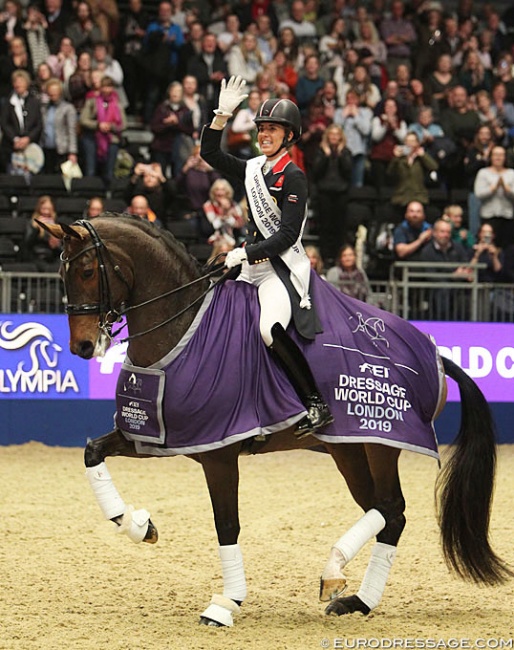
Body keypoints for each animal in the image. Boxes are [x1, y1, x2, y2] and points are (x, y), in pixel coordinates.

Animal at [40, 215, 508, 624]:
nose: (83, 346)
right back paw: (356, 600)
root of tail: (434, 354)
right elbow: (92, 452)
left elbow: (226, 524)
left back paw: (335, 574)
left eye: (86, 270)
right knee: (387, 513)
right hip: (350, 450)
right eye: (62, 272)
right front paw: (138, 524)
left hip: (381, 442)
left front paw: (226, 603)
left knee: (392, 508)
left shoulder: (218, 452)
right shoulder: (156, 436)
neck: (184, 326)